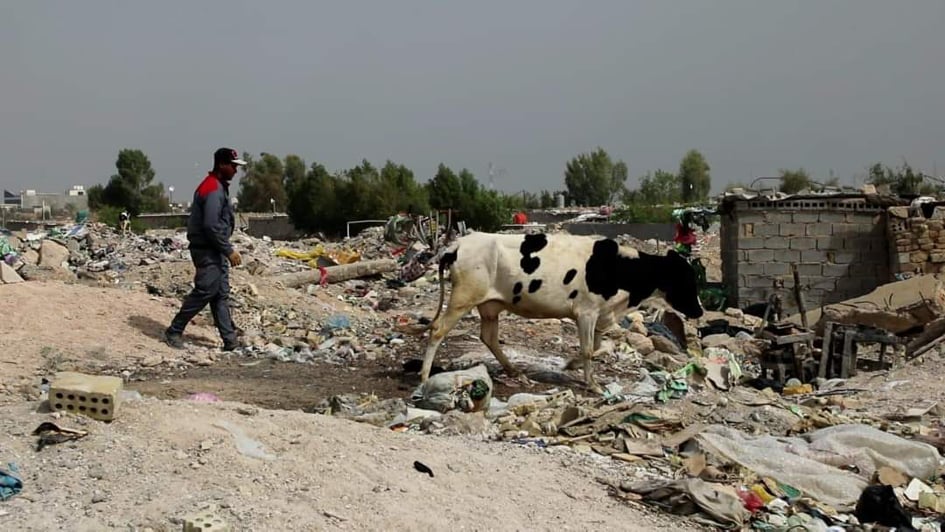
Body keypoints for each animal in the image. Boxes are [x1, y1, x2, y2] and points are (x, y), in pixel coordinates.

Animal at [419, 231, 704, 393]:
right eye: (686, 279)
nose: (700, 311)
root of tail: (457, 244)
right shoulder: (587, 311)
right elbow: (589, 349)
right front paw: (592, 384)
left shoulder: (600, 313)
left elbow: (596, 345)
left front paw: (571, 364)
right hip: (464, 297)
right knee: (438, 330)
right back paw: (423, 375)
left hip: (490, 305)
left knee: (488, 337)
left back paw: (514, 371)